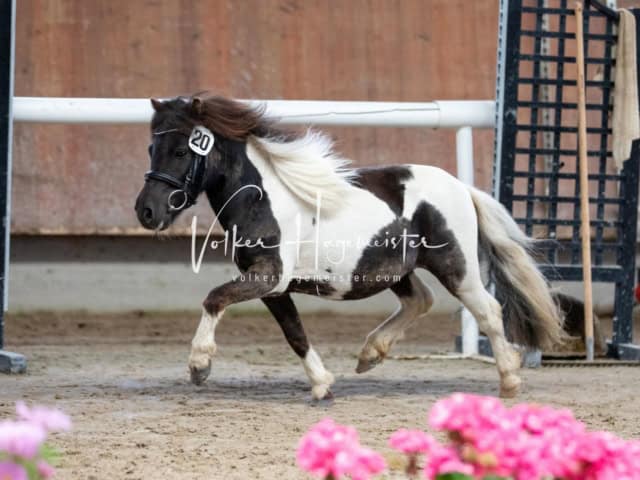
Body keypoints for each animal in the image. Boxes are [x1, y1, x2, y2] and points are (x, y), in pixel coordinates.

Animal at [136, 95, 564, 400]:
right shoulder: (272, 287)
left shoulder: (268, 277)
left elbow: (214, 298)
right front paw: (323, 384)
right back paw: (369, 355)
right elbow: (294, 332)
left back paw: (509, 381)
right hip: (393, 268)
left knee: (488, 311)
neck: (263, 199)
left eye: (180, 151)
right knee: (419, 300)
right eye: (151, 149)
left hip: (455, 266)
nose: (146, 211)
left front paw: (199, 366)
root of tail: (461, 187)